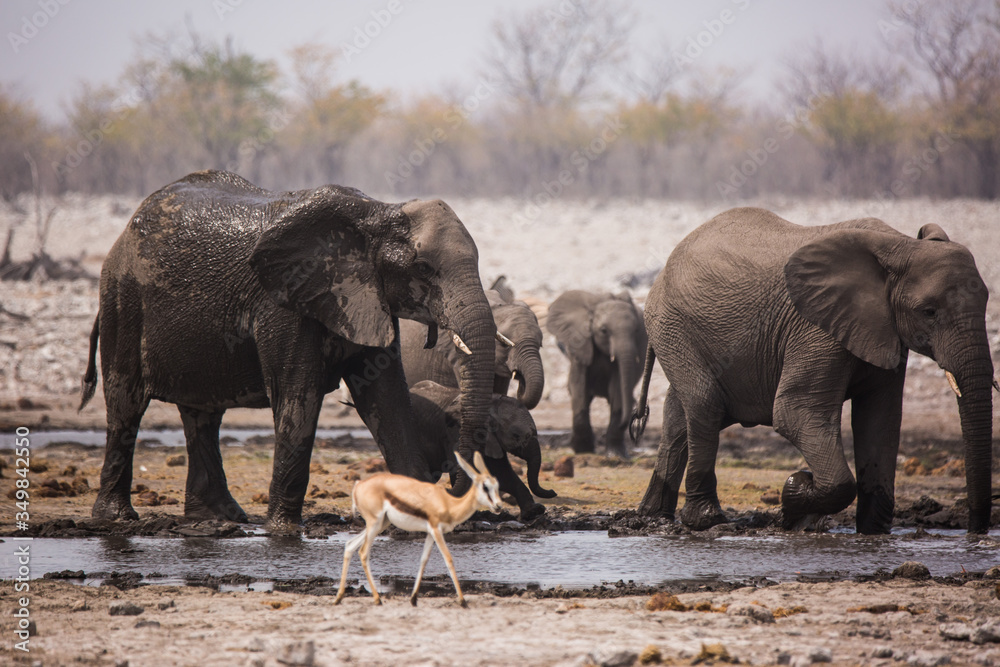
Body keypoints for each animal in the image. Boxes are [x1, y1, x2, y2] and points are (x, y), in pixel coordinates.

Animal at [79, 171, 500, 532]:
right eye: (424, 267)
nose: (451, 480)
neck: (378, 211)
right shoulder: (283, 303)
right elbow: (298, 397)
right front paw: (283, 532)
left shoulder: (366, 298)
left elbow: (386, 399)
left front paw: (415, 515)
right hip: (122, 299)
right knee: (126, 404)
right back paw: (117, 519)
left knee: (202, 414)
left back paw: (218, 519)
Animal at [548, 292, 648, 460]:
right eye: (603, 330)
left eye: (636, 331)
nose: (633, 417)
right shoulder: (581, 346)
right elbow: (579, 392)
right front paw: (583, 451)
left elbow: (618, 391)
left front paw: (615, 455)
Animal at [632, 206, 992, 536]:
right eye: (928, 312)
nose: (976, 532)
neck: (902, 245)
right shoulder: (816, 328)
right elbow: (796, 413)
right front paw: (796, 495)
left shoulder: (885, 332)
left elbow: (880, 422)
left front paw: (872, 534)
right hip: (672, 325)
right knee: (705, 406)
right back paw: (707, 521)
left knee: (679, 417)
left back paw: (653, 517)